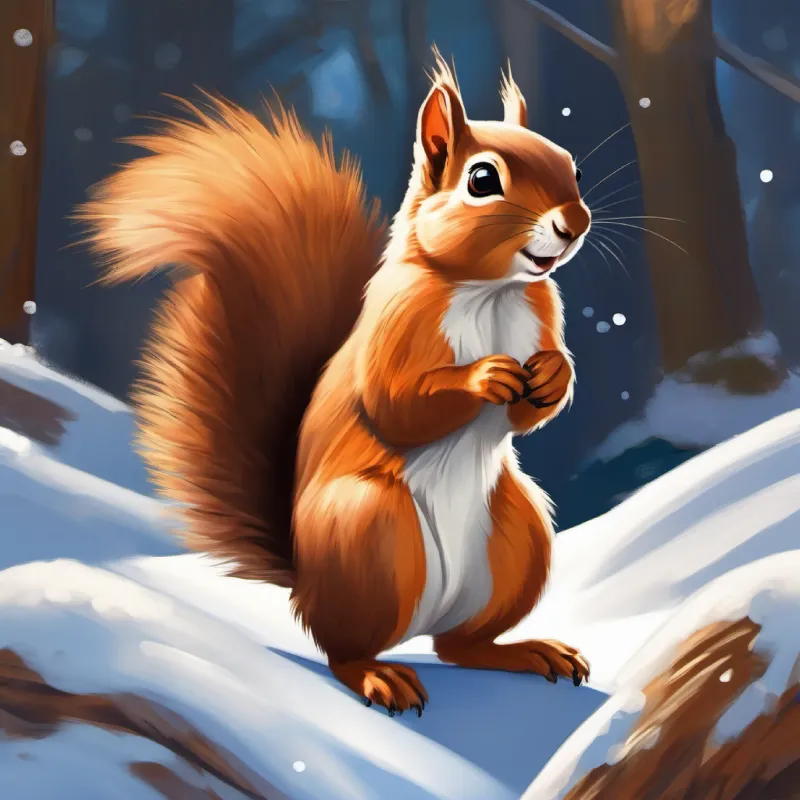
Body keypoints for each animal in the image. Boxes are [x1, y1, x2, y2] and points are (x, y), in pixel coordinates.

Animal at [78, 51, 591, 716]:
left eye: (571, 165)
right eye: (482, 180)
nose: (575, 223)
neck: (491, 292)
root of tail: (305, 581)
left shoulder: (540, 315)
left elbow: (530, 410)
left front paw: (554, 374)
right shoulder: (395, 325)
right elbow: (395, 406)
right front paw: (485, 375)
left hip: (520, 534)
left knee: (459, 646)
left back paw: (523, 651)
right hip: (368, 527)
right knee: (343, 649)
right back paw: (378, 676)